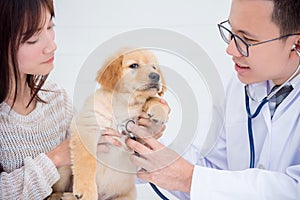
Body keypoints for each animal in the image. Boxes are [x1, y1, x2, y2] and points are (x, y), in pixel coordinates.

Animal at [69, 48, 170, 200]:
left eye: (154, 67)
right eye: (134, 65)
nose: (156, 76)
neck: (124, 103)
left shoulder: (139, 143)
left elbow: (153, 98)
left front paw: (159, 111)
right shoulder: (87, 127)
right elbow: (87, 161)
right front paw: (86, 190)